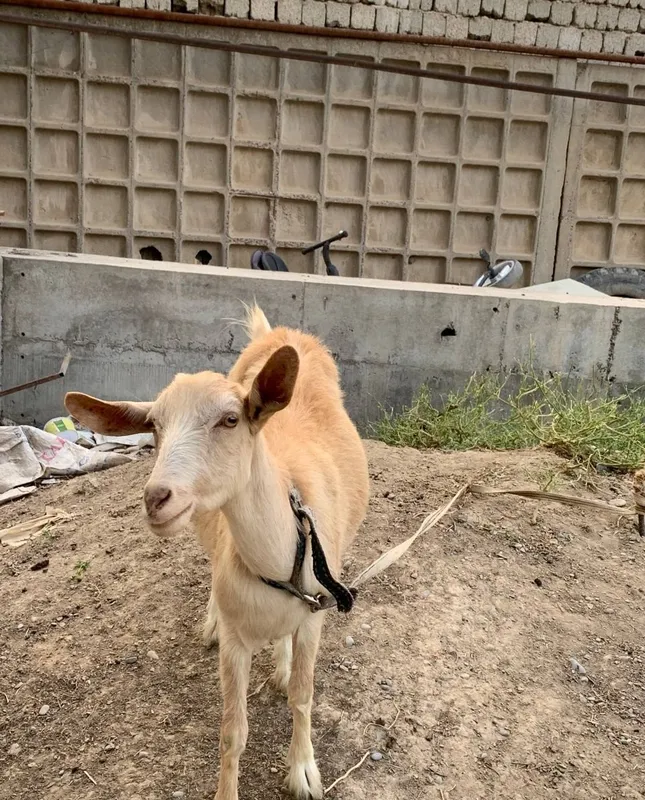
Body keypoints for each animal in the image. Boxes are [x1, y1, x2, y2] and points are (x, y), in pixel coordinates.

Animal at [64, 305, 370, 800]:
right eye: (155, 426)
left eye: (230, 420)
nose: (156, 498)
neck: (279, 563)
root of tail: (279, 333)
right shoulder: (235, 640)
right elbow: (232, 732)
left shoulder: (316, 615)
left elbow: (302, 695)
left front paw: (303, 770)